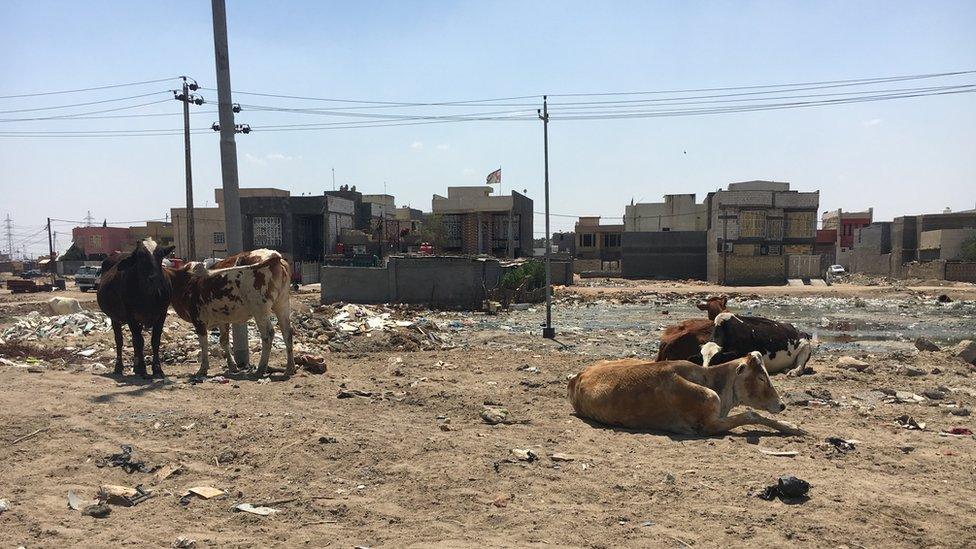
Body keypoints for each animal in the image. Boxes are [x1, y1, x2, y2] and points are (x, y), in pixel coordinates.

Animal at [96, 240, 174, 376]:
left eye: (161, 255)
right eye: (141, 256)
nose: (155, 278)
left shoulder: (162, 314)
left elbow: (155, 340)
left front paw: (157, 368)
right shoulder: (131, 316)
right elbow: (139, 341)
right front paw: (142, 367)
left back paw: (135, 365)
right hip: (114, 318)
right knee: (120, 340)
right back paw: (119, 366)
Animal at [166, 248, 294, 376]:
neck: (186, 282)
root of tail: (274, 255)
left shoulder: (198, 320)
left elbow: (204, 344)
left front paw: (203, 368)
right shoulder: (223, 319)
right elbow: (224, 341)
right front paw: (232, 366)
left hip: (260, 310)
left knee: (268, 334)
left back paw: (261, 368)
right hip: (282, 304)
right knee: (287, 332)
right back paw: (289, 368)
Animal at [568, 352, 804, 436]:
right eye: (762, 378)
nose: (781, 405)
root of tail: (578, 375)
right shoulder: (708, 425)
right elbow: (751, 414)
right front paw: (792, 427)